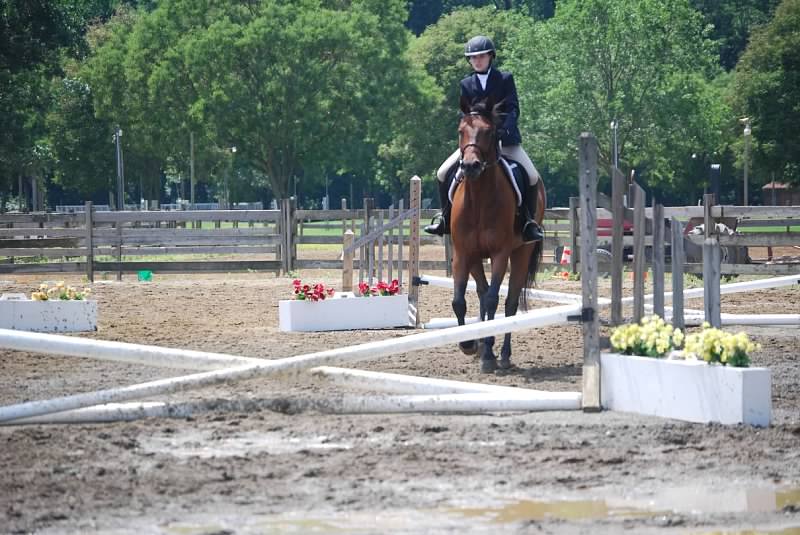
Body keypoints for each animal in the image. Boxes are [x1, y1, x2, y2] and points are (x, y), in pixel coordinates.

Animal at [449, 95, 545, 373]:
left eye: (490, 132)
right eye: (460, 131)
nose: (470, 166)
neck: (479, 200)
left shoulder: (500, 253)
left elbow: (494, 300)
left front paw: (488, 356)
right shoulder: (463, 253)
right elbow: (460, 301)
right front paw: (469, 345)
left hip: (522, 252)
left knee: (510, 302)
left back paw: (502, 355)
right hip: (475, 258)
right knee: (481, 293)